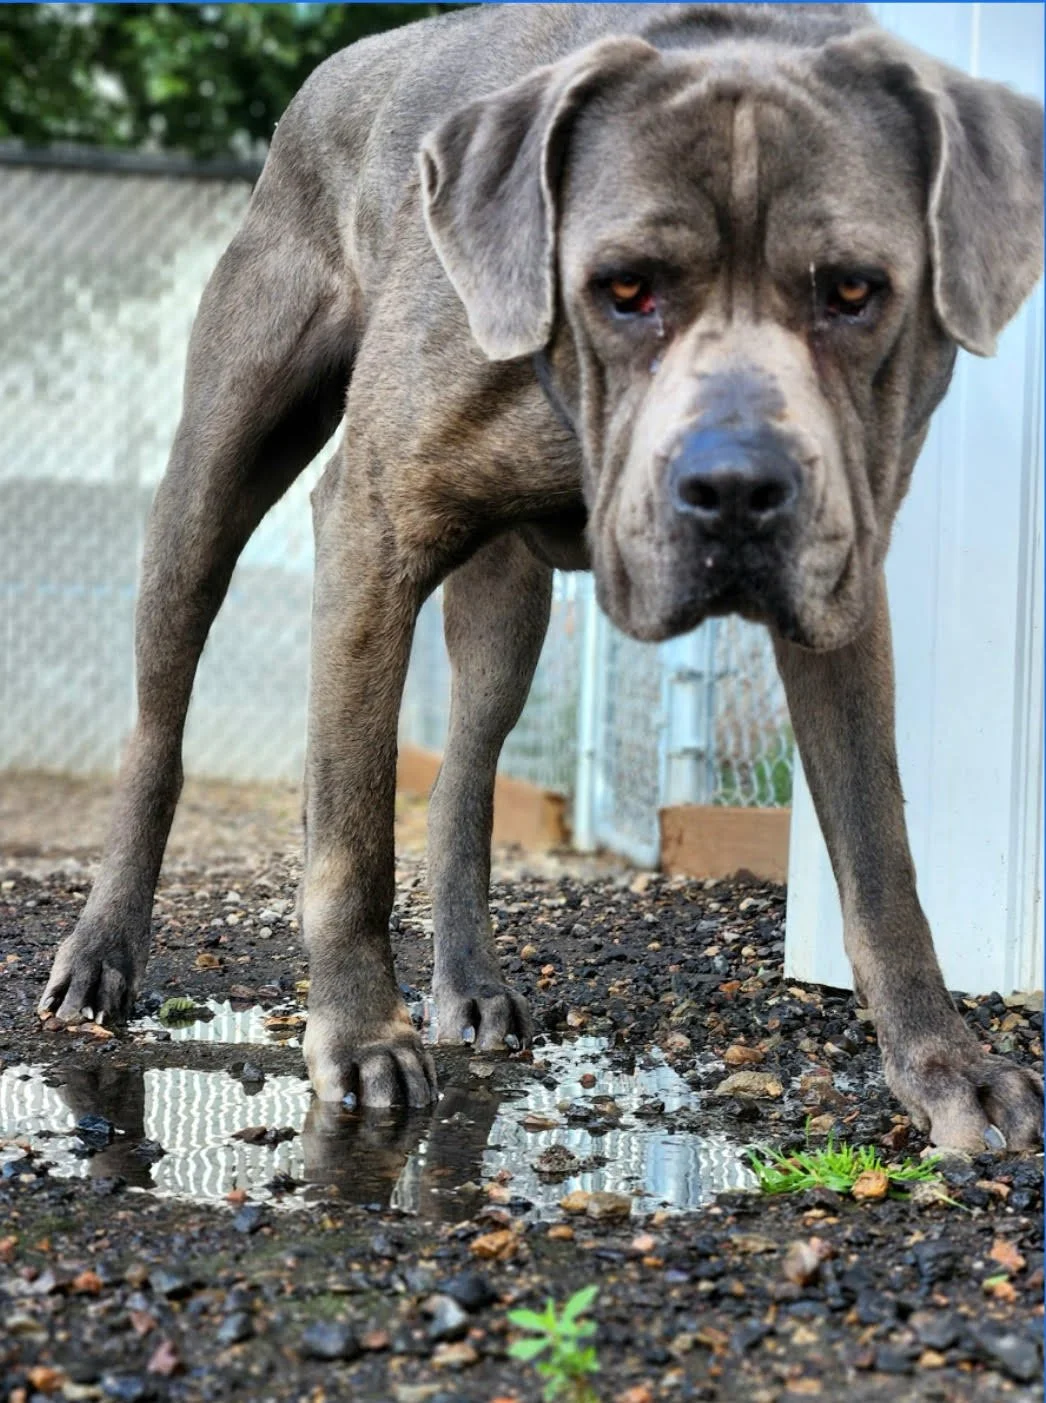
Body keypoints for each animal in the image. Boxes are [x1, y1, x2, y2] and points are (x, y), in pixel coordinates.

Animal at [41, 4, 1043, 1150]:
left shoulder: (840, 577)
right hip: (208, 484)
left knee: (465, 776)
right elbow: (350, 826)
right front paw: (361, 1035)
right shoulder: (369, 525)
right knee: (158, 726)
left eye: (852, 290)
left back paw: (467, 980)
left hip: (506, 604)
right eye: (625, 287)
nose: (738, 488)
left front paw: (941, 1063)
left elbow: (880, 854)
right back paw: (102, 951)